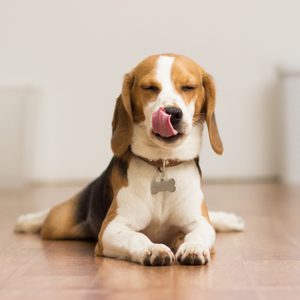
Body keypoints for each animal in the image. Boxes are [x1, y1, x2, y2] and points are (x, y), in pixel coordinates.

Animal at [15, 54, 244, 268]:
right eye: (149, 87)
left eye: (189, 87)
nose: (172, 113)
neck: (162, 164)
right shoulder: (111, 228)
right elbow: (137, 237)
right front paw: (153, 249)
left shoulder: (199, 223)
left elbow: (200, 232)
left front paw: (193, 247)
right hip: (58, 223)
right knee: (48, 215)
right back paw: (28, 221)